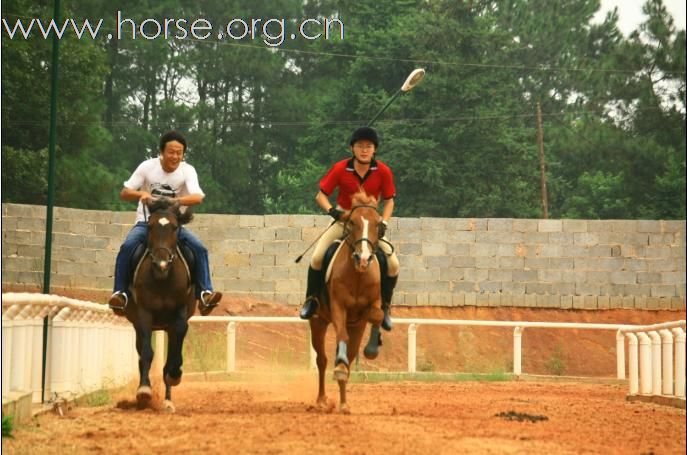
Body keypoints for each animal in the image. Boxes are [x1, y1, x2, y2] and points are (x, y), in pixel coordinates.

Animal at [122, 198, 194, 416]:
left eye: (175, 227)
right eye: (150, 226)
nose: (161, 264)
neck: (163, 278)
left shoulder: (179, 317)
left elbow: (173, 358)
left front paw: (174, 374)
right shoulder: (144, 315)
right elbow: (146, 353)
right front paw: (144, 390)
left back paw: (168, 401)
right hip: (138, 324)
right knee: (141, 354)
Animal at [312, 191, 388, 416]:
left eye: (377, 224)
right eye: (352, 222)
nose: (363, 258)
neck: (357, 275)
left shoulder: (371, 307)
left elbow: (377, 315)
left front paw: (372, 349)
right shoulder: (338, 307)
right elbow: (340, 341)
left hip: (356, 326)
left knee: (349, 355)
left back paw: (344, 403)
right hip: (318, 322)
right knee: (322, 360)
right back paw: (322, 400)